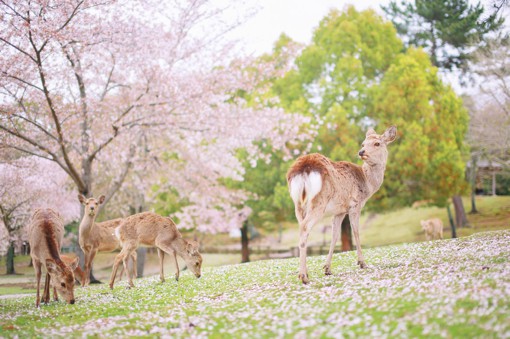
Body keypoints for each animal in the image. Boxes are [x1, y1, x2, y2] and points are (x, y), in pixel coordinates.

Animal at [286, 125, 398, 284]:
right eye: (363, 143)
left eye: (377, 143)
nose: (361, 152)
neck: (367, 185)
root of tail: (303, 169)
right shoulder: (355, 204)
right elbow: (356, 231)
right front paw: (362, 263)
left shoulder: (339, 211)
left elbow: (335, 236)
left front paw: (327, 268)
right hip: (319, 201)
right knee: (305, 227)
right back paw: (303, 277)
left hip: (297, 203)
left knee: (302, 227)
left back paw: (305, 272)